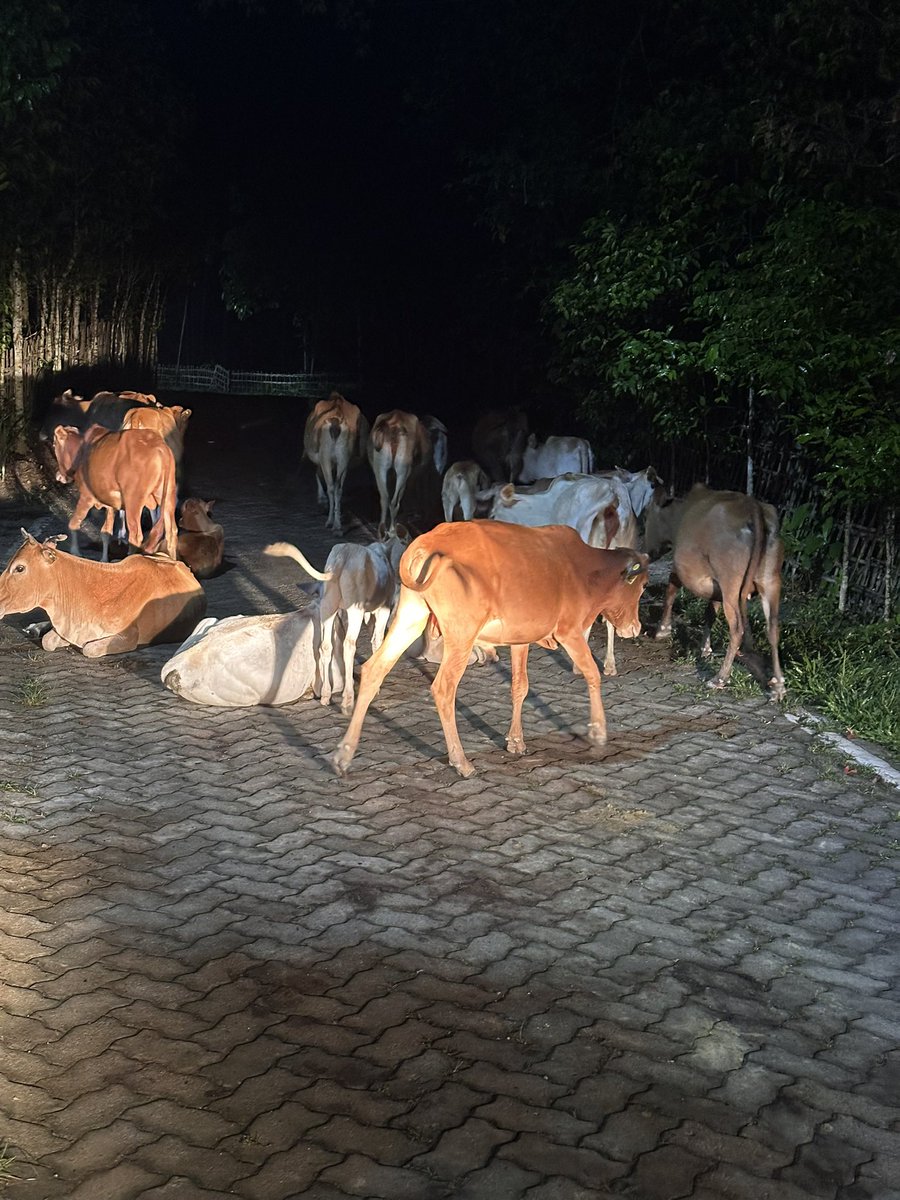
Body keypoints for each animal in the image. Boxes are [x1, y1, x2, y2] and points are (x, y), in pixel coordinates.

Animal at [52, 424, 178, 562]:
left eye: (54, 444)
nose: (58, 475)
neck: (82, 450)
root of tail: (159, 447)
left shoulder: (86, 497)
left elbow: (74, 523)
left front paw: (75, 551)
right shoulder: (110, 504)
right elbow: (105, 533)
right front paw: (104, 560)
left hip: (133, 502)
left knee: (135, 536)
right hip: (168, 497)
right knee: (171, 533)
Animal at [264, 531, 408, 714]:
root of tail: (342, 557)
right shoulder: (383, 609)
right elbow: (378, 640)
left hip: (328, 606)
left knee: (325, 646)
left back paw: (326, 695)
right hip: (354, 609)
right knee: (349, 645)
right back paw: (347, 700)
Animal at [303, 392, 369, 533]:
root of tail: (336, 422)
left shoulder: (321, 459)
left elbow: (318, 474)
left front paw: (322, 501)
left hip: (326, 457)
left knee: (331, 487)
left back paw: (330, 522)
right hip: (344, 458)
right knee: (338, 488)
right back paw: (337, 525)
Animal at [330, 520, 648, 779]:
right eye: (643, 586)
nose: (636, 628)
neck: (582, 567)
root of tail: (428, 542)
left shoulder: (521, 639)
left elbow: (520, 686)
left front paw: (516, 741)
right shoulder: (568, 631)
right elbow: (592, 673)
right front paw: (598, 731)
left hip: (411, 617)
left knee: (374, 670)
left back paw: (344, 754)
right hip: (461, 635)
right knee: (444, 689)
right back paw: (460, 761)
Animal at [645, 484, 785, 700]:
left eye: (647, 516)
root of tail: (752, 507)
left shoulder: (679, 568)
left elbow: (670, 592)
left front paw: (662, 629)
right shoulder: (715, 584)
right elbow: (710, 612)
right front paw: (705, 648)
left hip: (731, 584)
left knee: (737, 628)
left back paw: (720, 678)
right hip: (770, 581)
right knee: (772, 629)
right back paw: (777, 685)